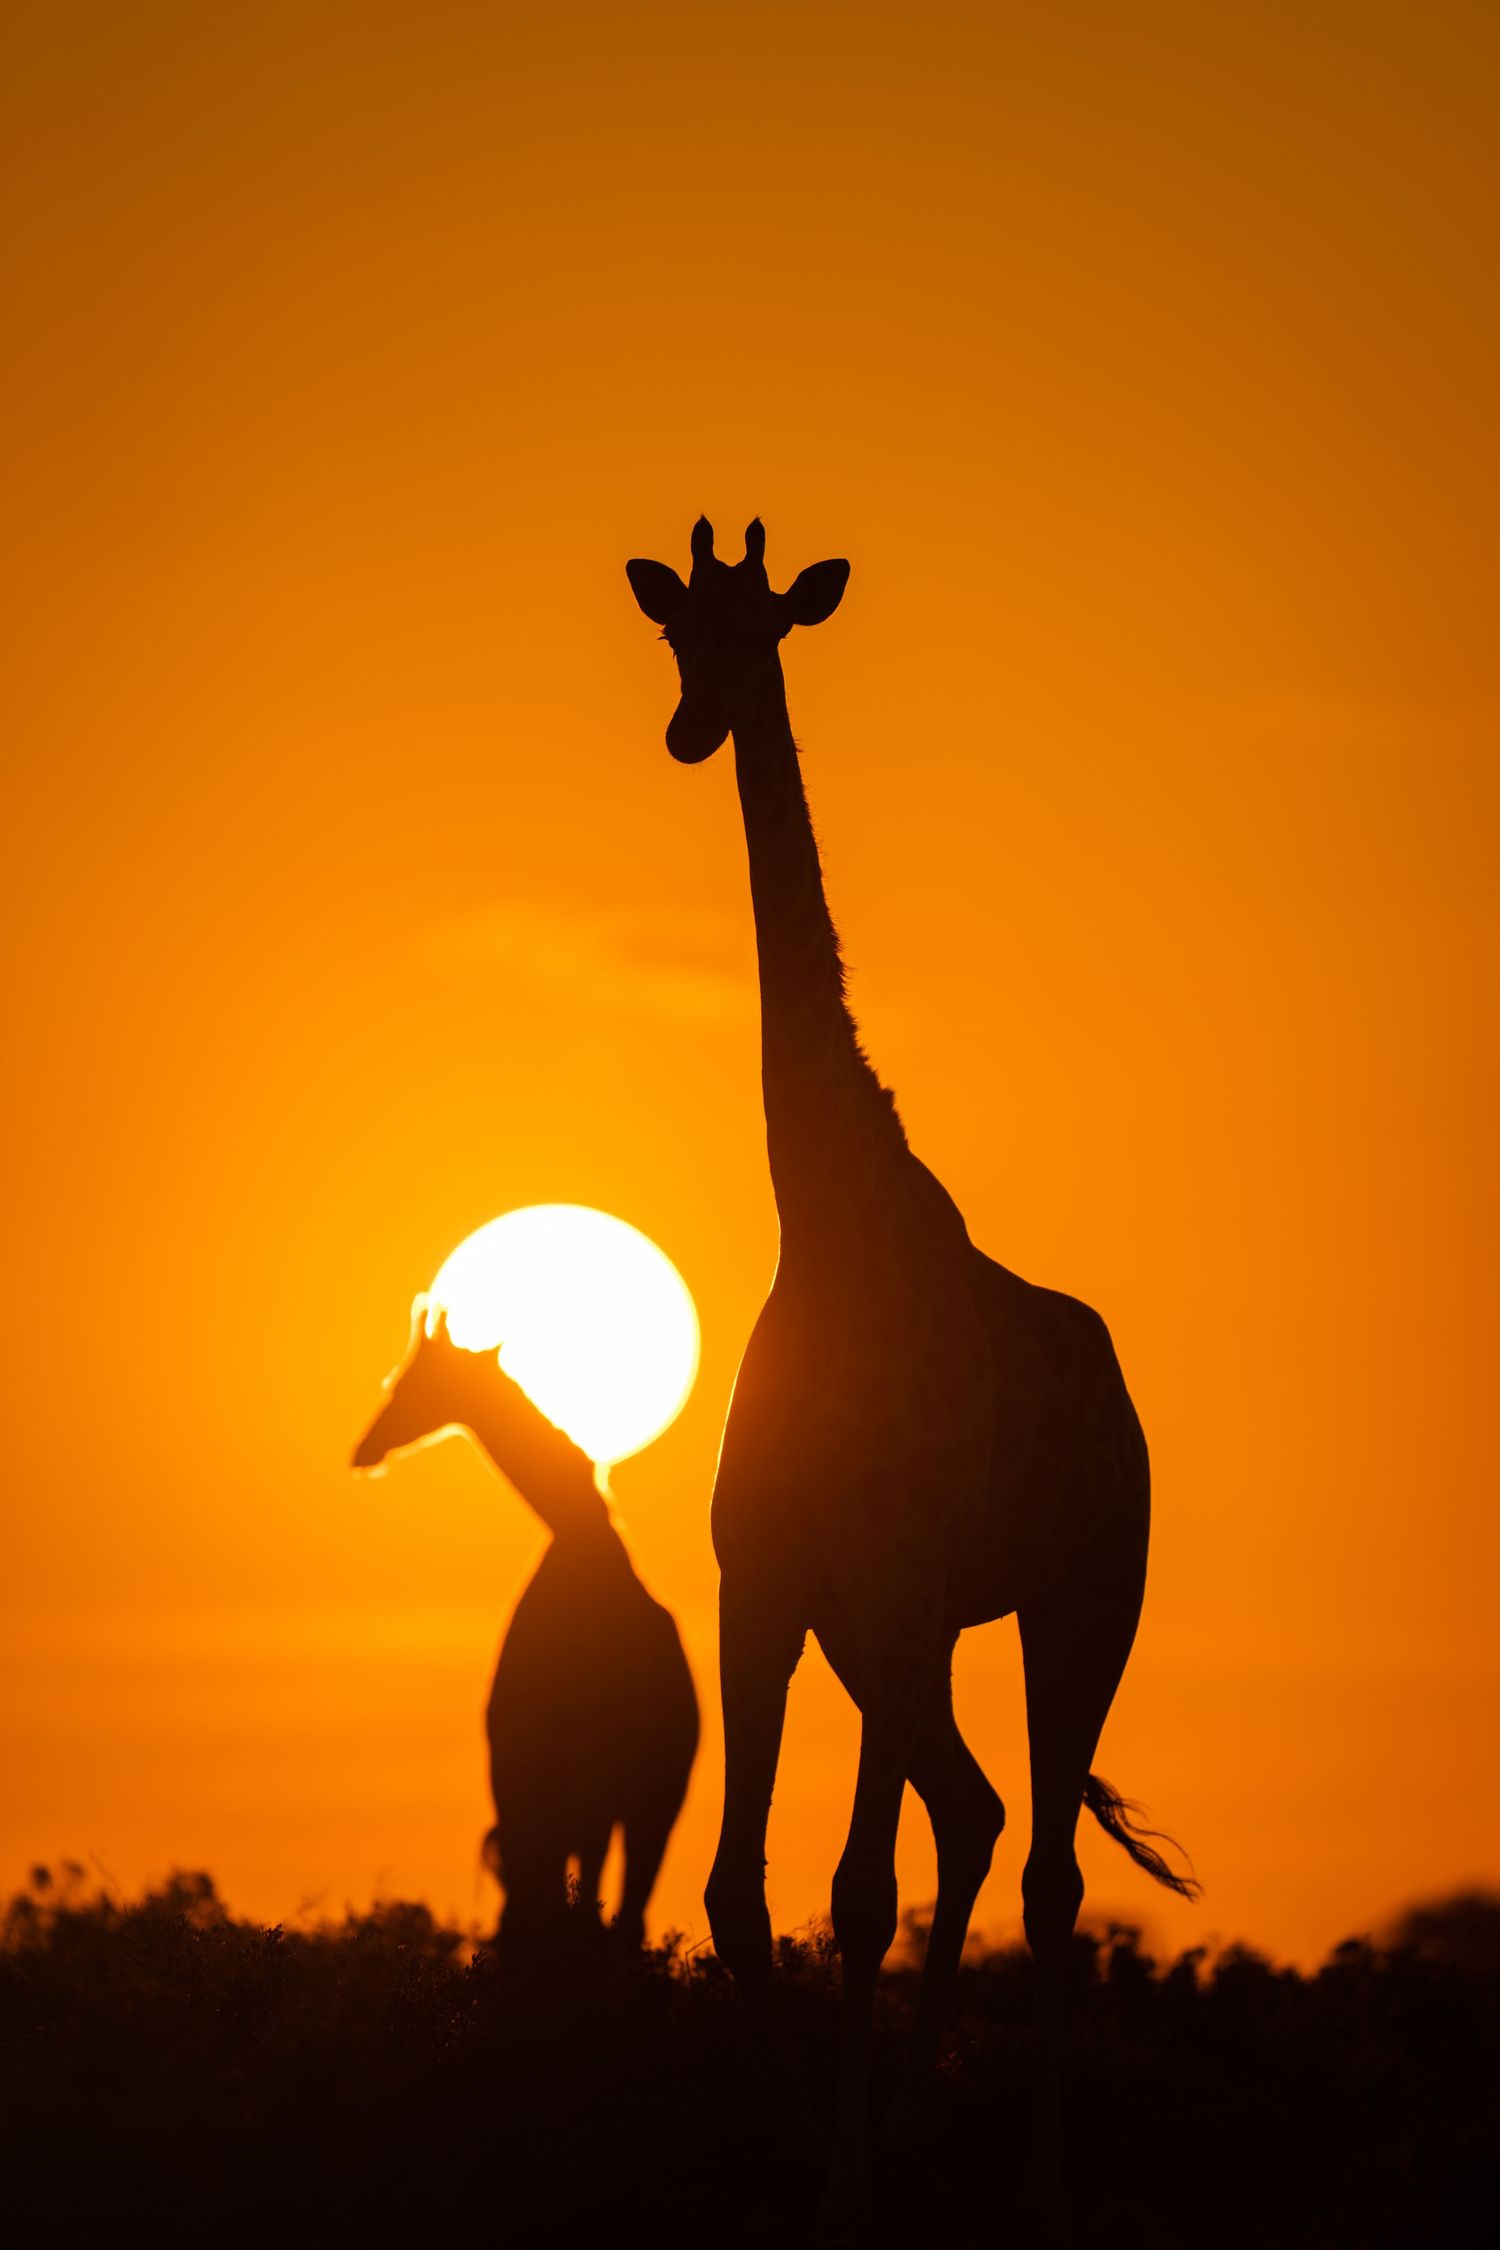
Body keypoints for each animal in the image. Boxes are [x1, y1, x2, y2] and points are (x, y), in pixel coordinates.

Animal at [352, 1304, 699, 1953]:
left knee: (569, 1908)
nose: (362, 1450)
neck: (584, 1542)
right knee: (594, 1911)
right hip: (627, 1800)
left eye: (405, 1384)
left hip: (600, 1797)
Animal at [626, 517, 1196, 2235]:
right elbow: (742, 1888)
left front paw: (849, 2174)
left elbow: (860, 1883)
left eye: (767, 629)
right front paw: (831, 2158)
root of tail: (1127, 1408)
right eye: (676, 631)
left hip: (1084, 1595)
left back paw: (1050, 2177)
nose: (693, 728)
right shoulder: (769, 1588)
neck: (824, 1217)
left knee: (1044, 1858)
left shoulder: (890, 1584)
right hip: (915, 1635)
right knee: (979, 1813)